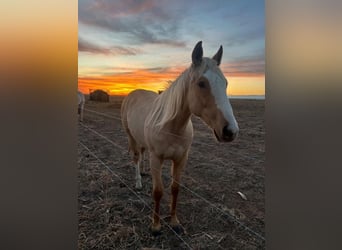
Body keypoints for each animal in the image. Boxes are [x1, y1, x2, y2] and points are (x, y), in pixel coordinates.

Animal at [121, 41, 239, 234]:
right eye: (201, 83)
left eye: (226, 83)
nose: (231, 131)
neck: (172, 128)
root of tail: (132, 93)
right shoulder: (157, 158)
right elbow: (158, 191)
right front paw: (156, 226)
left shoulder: (181, 159)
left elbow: (175, 189)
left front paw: (175, 222)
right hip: (130, 135)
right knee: (136, 157)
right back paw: (138, 182)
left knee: (142, 153)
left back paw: (144, 172)